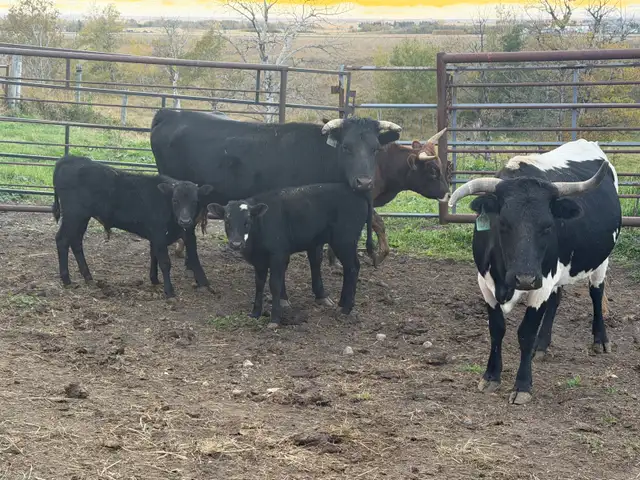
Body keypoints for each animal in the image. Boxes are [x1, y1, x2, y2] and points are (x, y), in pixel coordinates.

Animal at [52, 155, 213, 298]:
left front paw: (203, 283)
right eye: (175, 200)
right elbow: (165, 262)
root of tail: (69, 159)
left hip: (82, 218)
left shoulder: (185, 233)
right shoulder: (159, 234)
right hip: (73, 215)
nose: (185, 220)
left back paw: (88, 276)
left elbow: (191, 258)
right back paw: (66, 279)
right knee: (62, 240)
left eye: (195, 201)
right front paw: (169, 291)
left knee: (76, 242)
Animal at [207, 183, 370, 329]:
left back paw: (346, 308)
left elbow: (274, 284)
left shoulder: (278, 255)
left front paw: (275, 319)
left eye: (247, 222)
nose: (236, 243)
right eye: (227, 221)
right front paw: (255, 313)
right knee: (350, 269)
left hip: (345, 240)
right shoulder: (259, 261)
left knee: (352, 268)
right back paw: (342, 304)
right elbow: (259, 284)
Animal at [326, 127, 451, 266]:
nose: (448, 194)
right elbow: (378, 223)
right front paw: (380, 255)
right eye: (433, 171)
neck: (383, 164)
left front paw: (333, 260)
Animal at [447, 139, 621, 405]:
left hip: (599, 261)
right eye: (503, 224)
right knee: (556, 300)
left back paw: (600, 340)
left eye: (548, 226)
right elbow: (496, 329)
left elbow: (525, 334)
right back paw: (542, 345)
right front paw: (491, 376)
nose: (525, 278)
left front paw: (522, 386)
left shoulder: (541, 284)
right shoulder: (485, 284)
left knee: (596, 293)